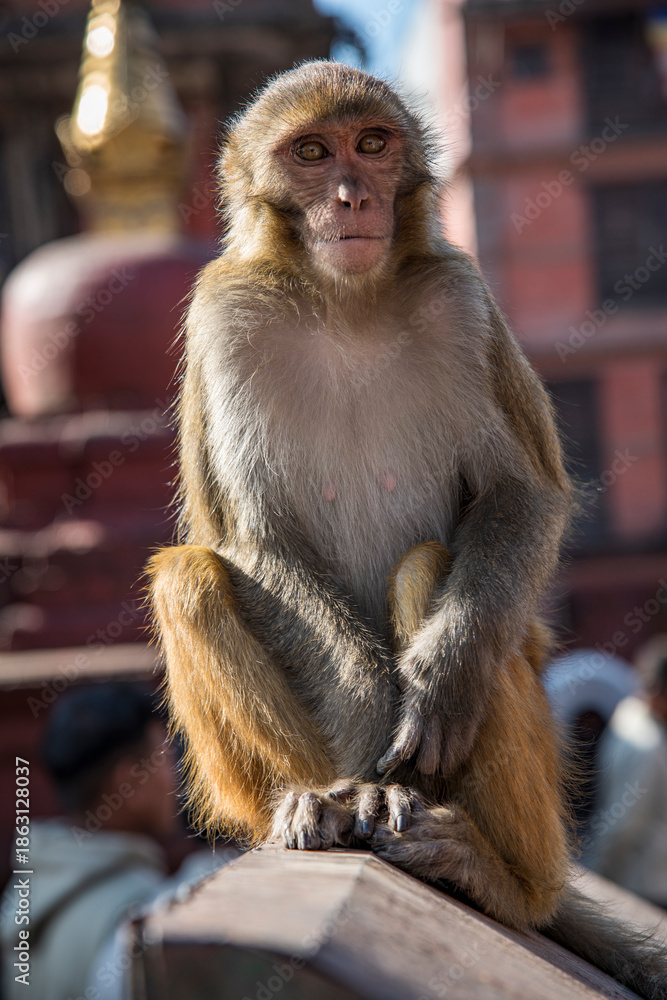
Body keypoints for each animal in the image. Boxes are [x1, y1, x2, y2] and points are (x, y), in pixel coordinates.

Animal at [148, 61, 667, 998]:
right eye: (312, 154)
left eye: (371, 144)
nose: (352, 196)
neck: (343, 299)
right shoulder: (225, 317)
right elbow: (256, 539)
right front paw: (364, 716)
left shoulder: (459, 296)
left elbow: (518, 494)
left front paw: (440, 676)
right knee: (189, 577)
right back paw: (314, 798)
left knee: (433, 568)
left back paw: (503, 878)